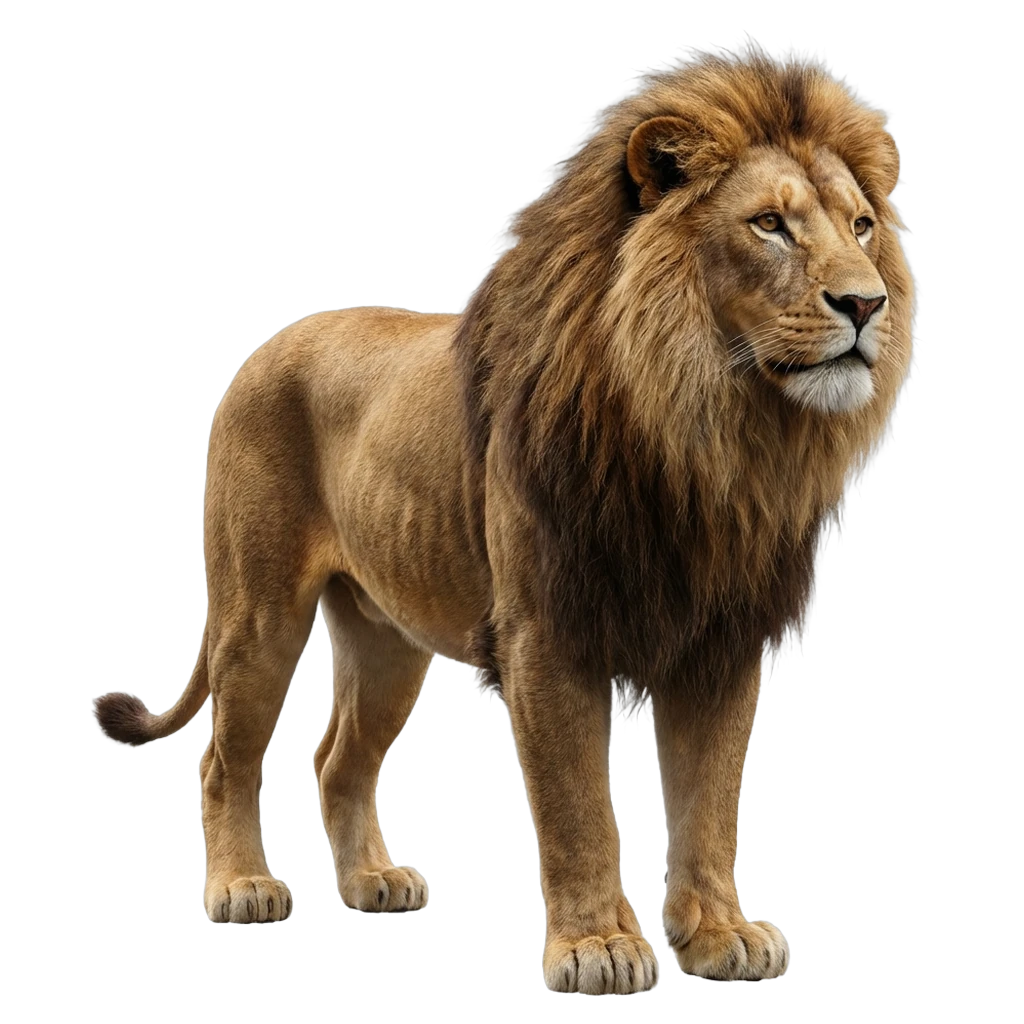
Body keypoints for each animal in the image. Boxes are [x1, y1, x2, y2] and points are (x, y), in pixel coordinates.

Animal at [94, 42, 916, 994]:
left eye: (862, 226)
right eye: (770, 225)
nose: (866, 305)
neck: (706, 435)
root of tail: (269, 345)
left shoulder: (719, 640)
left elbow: (710, 805)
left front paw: (719, 936)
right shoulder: (547, 635)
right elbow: (576, 808)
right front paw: (599, 948)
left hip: (388, 641)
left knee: (338, 758)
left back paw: (374, 882)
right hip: (258, 610)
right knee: (224, 758)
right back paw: (241, 888)